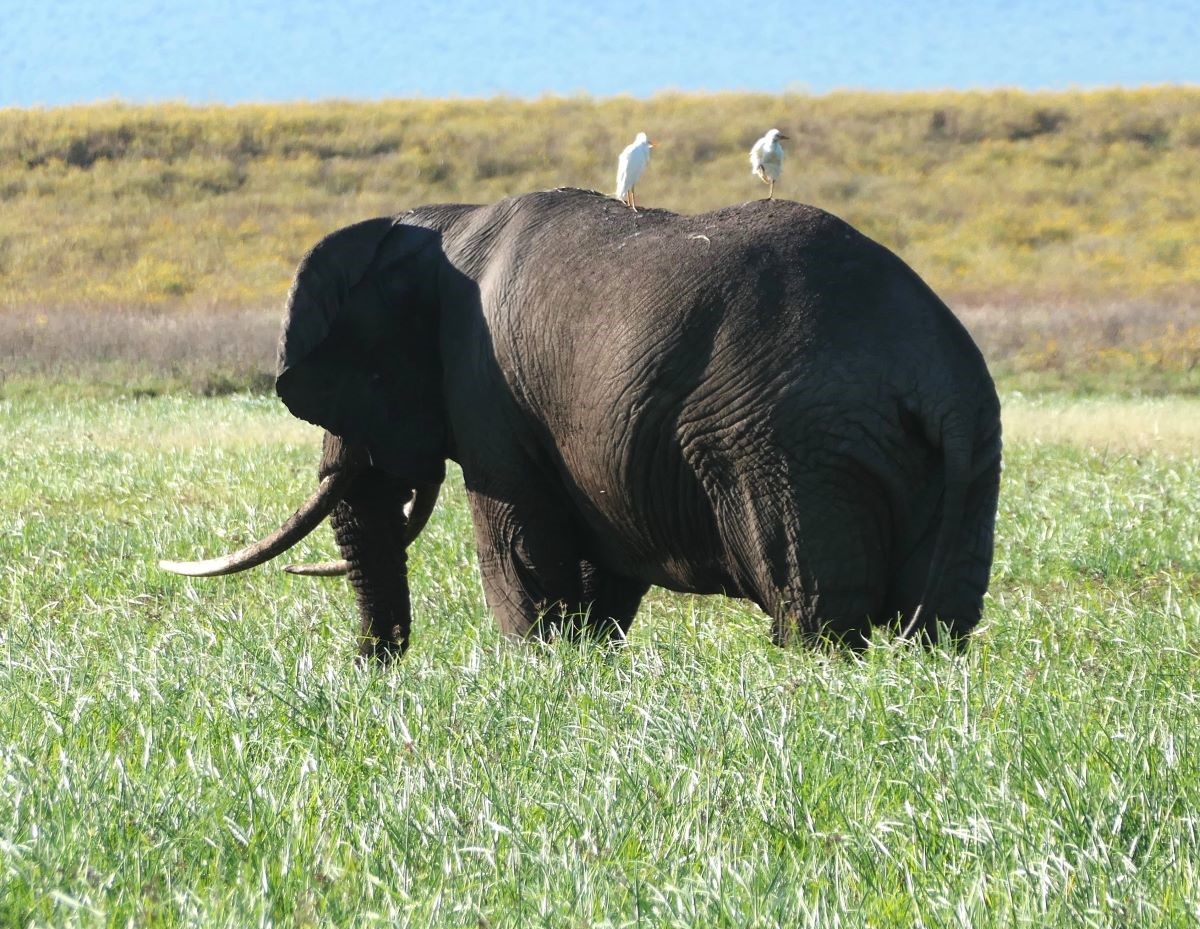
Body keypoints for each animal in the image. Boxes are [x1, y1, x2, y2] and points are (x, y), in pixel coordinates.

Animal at [159, 187, 1003, 662]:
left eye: (364, 376)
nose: (371, 671)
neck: (443, 221)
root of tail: (932, 374)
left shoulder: (485, 385)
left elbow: (515, 538)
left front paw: (534, 667)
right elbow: (602, 560)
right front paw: (582, 665)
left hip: (793, 449)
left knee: (815, 609)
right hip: (966, 456)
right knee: (939, 621)